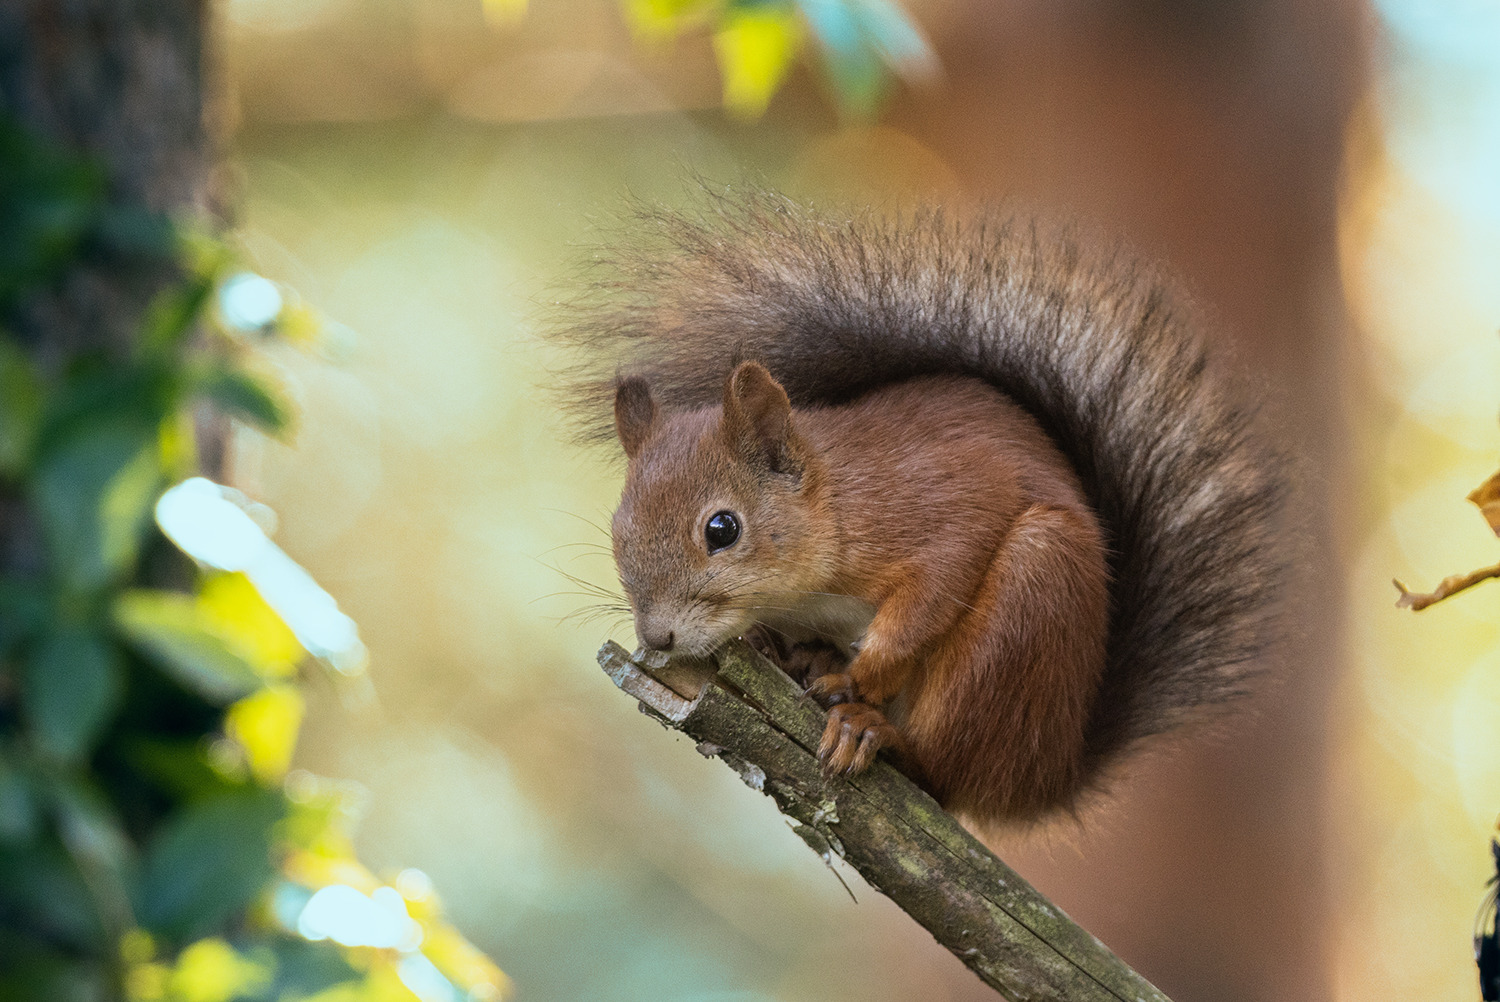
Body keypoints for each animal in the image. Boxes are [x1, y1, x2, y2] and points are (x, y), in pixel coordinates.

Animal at [559, 188, 1291, 825]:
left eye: (721, 529)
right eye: (618, 530)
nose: (656, 638)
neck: (836, 501)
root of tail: (1049, 775)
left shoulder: (939, 510)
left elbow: (923, 606)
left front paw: (857, 678)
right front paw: (770, 644)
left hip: (1028, 603)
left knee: (944, 771)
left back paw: (871, 726)